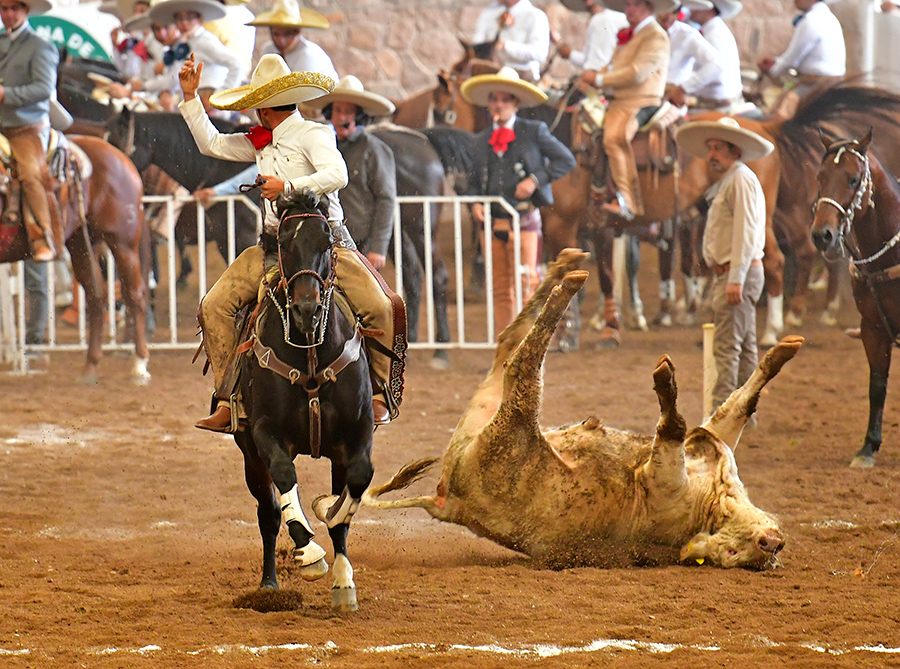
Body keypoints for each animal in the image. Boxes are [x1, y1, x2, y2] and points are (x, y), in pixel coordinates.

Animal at [0, 136, 149, 384]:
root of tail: (120, 156)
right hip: (82, 244)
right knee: (97, 296)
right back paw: (90, 365)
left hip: (123, 243)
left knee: (134, 296)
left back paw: (139, 365)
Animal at [234, 188, 374, 612]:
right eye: (282, 242)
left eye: (327, 241)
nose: (307, 309)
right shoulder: (264, 433)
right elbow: (284, 477)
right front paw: (309, 552)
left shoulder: (357, 431)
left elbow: (357, 486)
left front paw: (343, 576)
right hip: (248, 453)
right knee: (268, 512)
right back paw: (269, 584)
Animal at [808, 129, 900, 464]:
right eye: (820, 177)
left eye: (853, 179)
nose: (822, 234)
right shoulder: (872, 328)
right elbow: (877, 385)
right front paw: (868, 447)